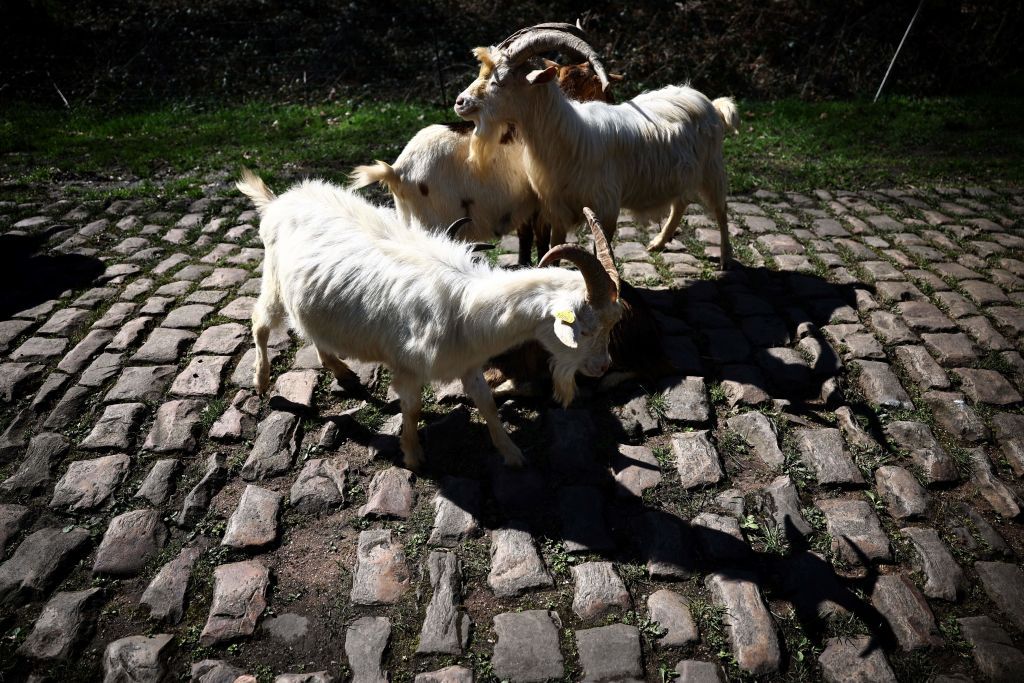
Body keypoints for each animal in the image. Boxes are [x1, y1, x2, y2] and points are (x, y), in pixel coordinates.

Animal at [236, 170, 622, 470]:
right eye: (584, 328)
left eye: (613, 324)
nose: (603, 367)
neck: (465, 307)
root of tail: (277, 202)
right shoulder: (407, 368)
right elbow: (412, 410)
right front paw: (413, 456)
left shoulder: (469, 363)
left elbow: (487, 404)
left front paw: (512, 454)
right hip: (273, 280)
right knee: (260, 323)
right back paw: (261, 380)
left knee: (312, 330)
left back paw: (342, 372)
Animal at [349, 59, 622, 265]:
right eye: (595, 84)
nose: (612, 102)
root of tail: (397, 171)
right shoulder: (542, 207)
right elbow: (541, 242)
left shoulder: (525, 207)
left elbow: (526, 240)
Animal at [453, 23, 739, 268]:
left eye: (499, 81)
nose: (460, 102)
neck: (569, 135)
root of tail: (709, 102)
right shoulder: (557, 210)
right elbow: (554, 249)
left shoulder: (606, 207)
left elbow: (601, 252)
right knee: (680, 202)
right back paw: (657, 243)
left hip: (713, 168)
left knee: (720, 210)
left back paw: (726, 259)